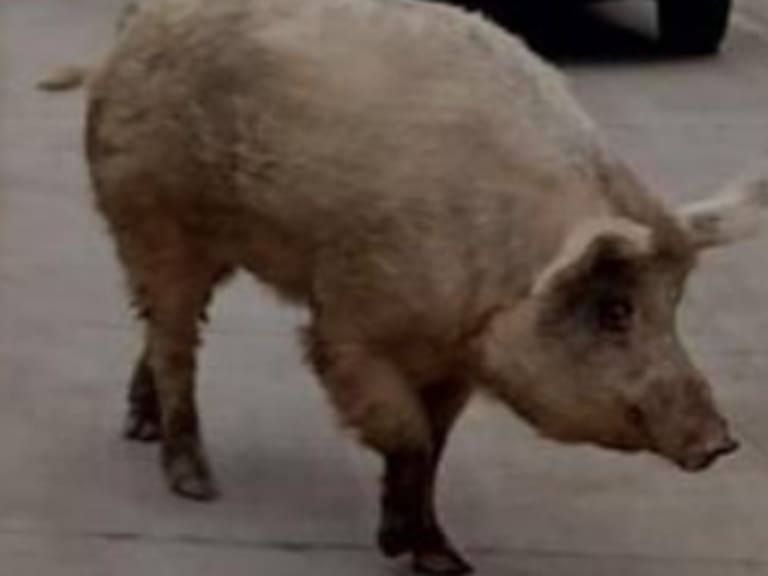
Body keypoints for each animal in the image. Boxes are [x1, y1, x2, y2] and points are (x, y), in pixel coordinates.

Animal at [85, 0, 766, 573]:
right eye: (617, 310)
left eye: (675, 304)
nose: (722, 440)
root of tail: (136, 28)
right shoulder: (350, 325)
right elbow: (406, 437)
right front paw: (428, 556)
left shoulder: (454, 360)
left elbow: (436, 448)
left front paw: (443, 559)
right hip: (152, 214)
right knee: (176, 338)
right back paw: (194, 483)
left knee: (161, 327)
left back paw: (142, 428)